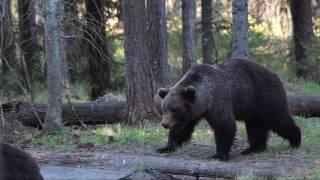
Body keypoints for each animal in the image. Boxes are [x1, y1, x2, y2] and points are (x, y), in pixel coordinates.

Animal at [156, 58, 302, 160]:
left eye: (175, 109)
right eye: (165, 109)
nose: (164, 124)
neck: (204, 100)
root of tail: (274, 74)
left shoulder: (218, 99)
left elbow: (224, 125)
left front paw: (218, 155)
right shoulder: (191, 114)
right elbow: (181, 130)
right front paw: (165, 147)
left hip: (265, 95)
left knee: (279, 119)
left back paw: (295, 141)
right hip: (252, 107)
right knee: (255, 126)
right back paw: (253, 148)